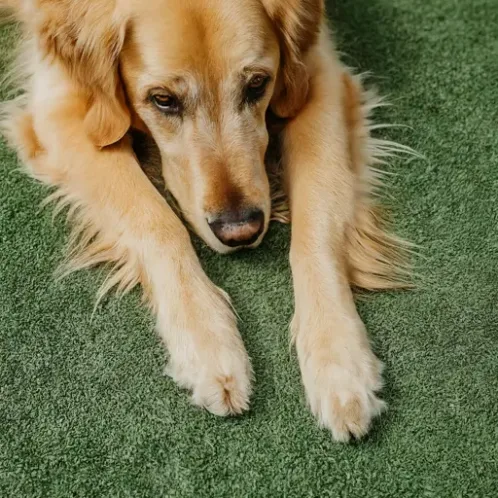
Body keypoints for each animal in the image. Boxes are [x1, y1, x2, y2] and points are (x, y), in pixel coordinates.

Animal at [0, 0, 410, 444]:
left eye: (257, 85)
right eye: (163, 100)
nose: (241, 229)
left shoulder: (314, 74)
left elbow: (316, 218)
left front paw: (339, 358)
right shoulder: (67, 108)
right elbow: (156, 219)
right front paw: (208, 343)